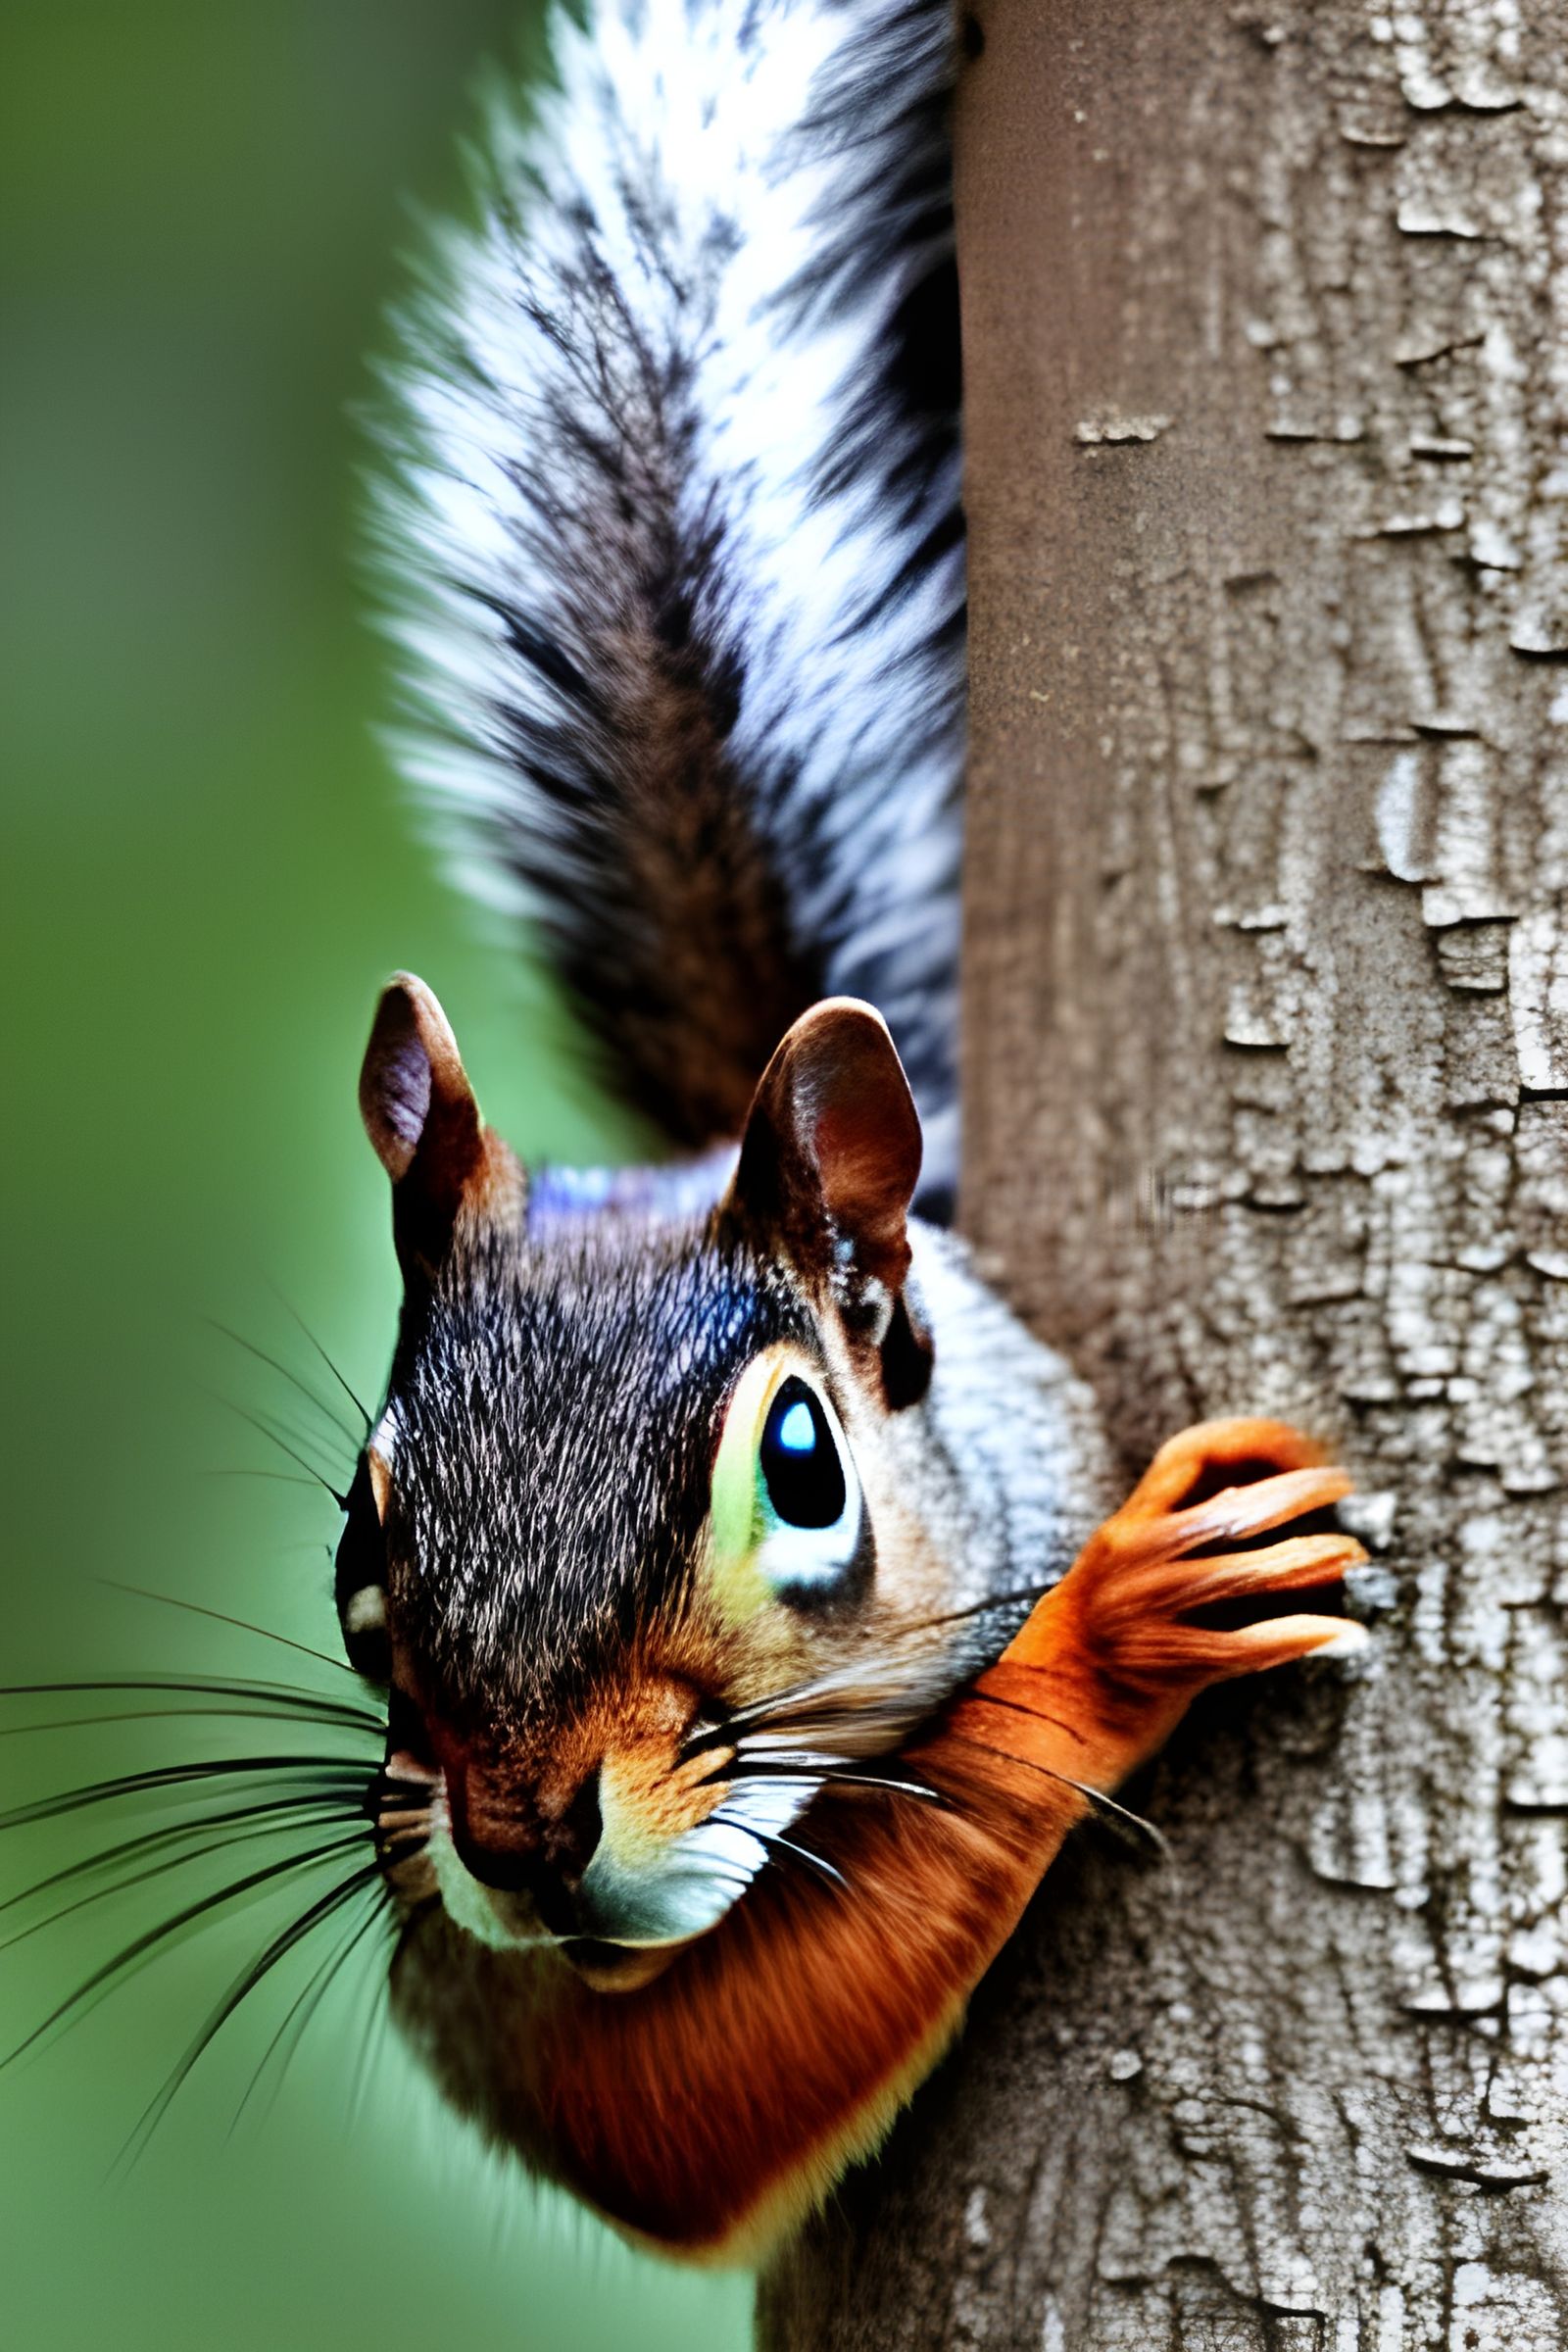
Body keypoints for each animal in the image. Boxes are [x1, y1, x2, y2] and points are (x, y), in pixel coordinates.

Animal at [337, 0, 1370, 2265]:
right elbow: (674, 2111)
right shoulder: (442, 1920)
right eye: (358, 1531)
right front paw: (1119, 1628)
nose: (524, 1832)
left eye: (803, 1468)